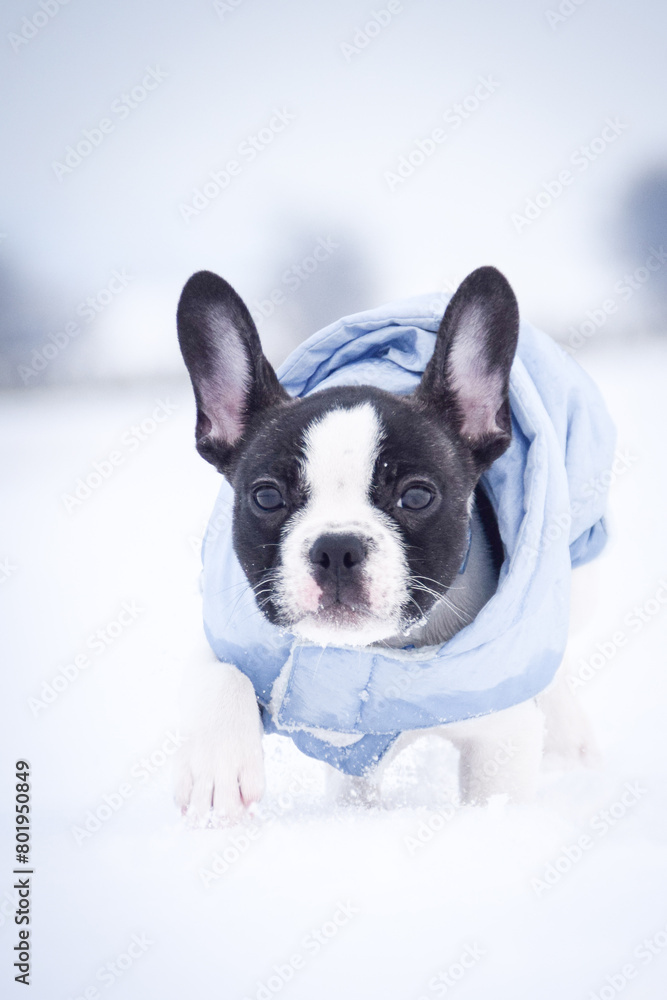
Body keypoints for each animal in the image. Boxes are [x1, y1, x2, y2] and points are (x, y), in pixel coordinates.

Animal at [172, 264, 600, 820]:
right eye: (266, 497)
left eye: (416, 496)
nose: (336, 548)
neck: (384, 653)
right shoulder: (232, 636)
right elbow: (217, 669)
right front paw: (217, 766)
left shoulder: (502, 737)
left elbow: (493, 796)